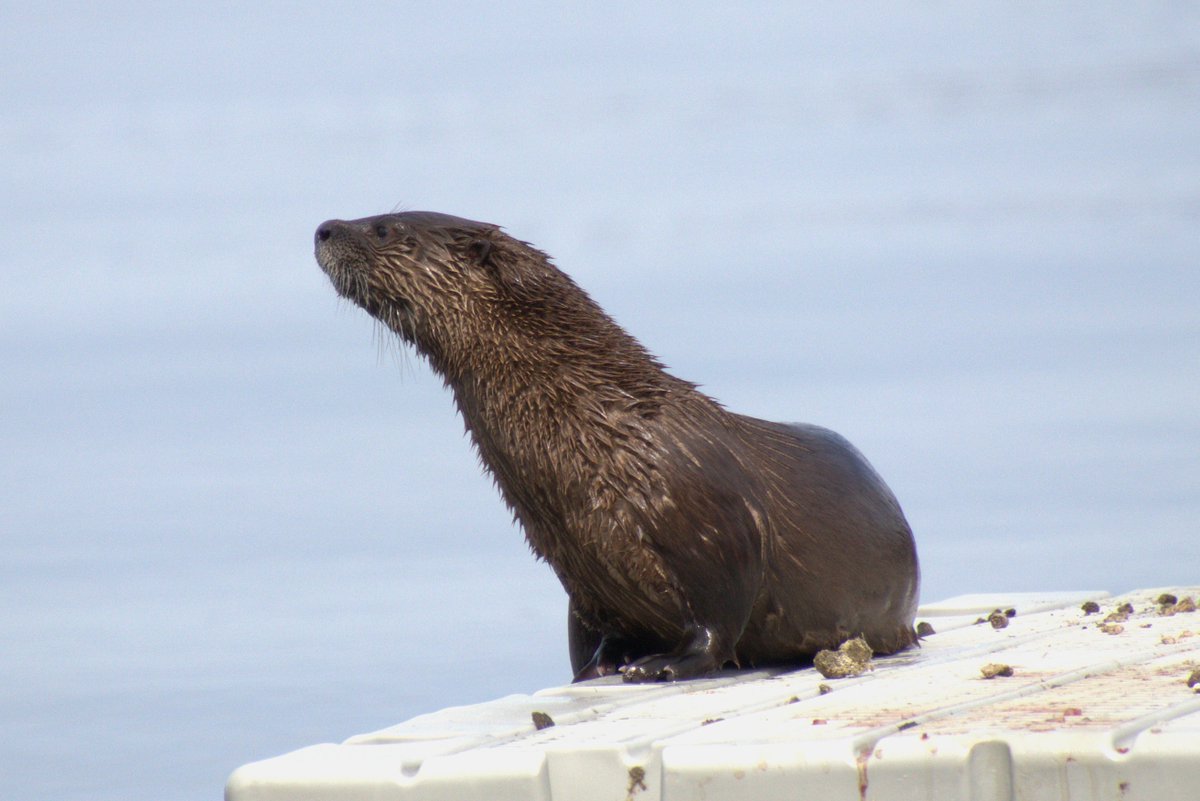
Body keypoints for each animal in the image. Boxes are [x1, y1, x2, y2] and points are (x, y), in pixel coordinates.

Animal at [314, 211, 919, 682]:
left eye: (384, 227)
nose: (323, 228)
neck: (604, 426)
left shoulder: (716, 529)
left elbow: (719, 623)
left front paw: (661, 665)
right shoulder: (581, 573)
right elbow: (604, 632)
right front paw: (599, 667)